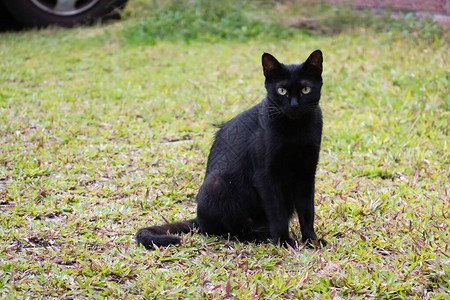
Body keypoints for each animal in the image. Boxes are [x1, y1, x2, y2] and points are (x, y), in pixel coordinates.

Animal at [135, 50, 326, 250]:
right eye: (282, 91)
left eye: (306, 90)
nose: (295, 105)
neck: (296, 130)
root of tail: (198, 220)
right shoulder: (266, 175)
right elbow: (277, 212)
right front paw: (284, 241)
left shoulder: (307, 172)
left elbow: (307, 211)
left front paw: (311, 239)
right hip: (216, 184)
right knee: (225, 230)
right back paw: (257, 236)